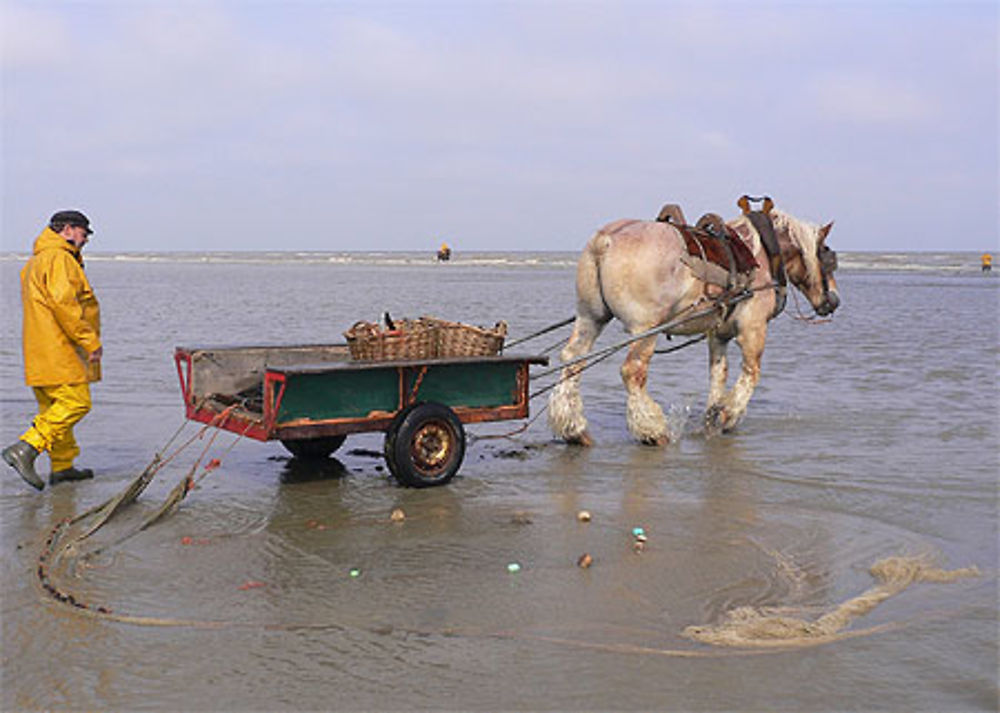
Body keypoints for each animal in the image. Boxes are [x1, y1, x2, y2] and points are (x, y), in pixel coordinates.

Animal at [552, 196, 840, 444]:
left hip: (591, 317)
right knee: (632, 371)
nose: (834, 300)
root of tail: (605, 239)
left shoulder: (719, 334)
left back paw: (574, 429)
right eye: (828, 258)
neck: (764, 254)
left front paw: (713, 417)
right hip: (646, 329)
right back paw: (653, 430)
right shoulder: (753, 329)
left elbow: (719, 373)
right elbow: (751, 372)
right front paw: (729, 413)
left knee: (572, 360)